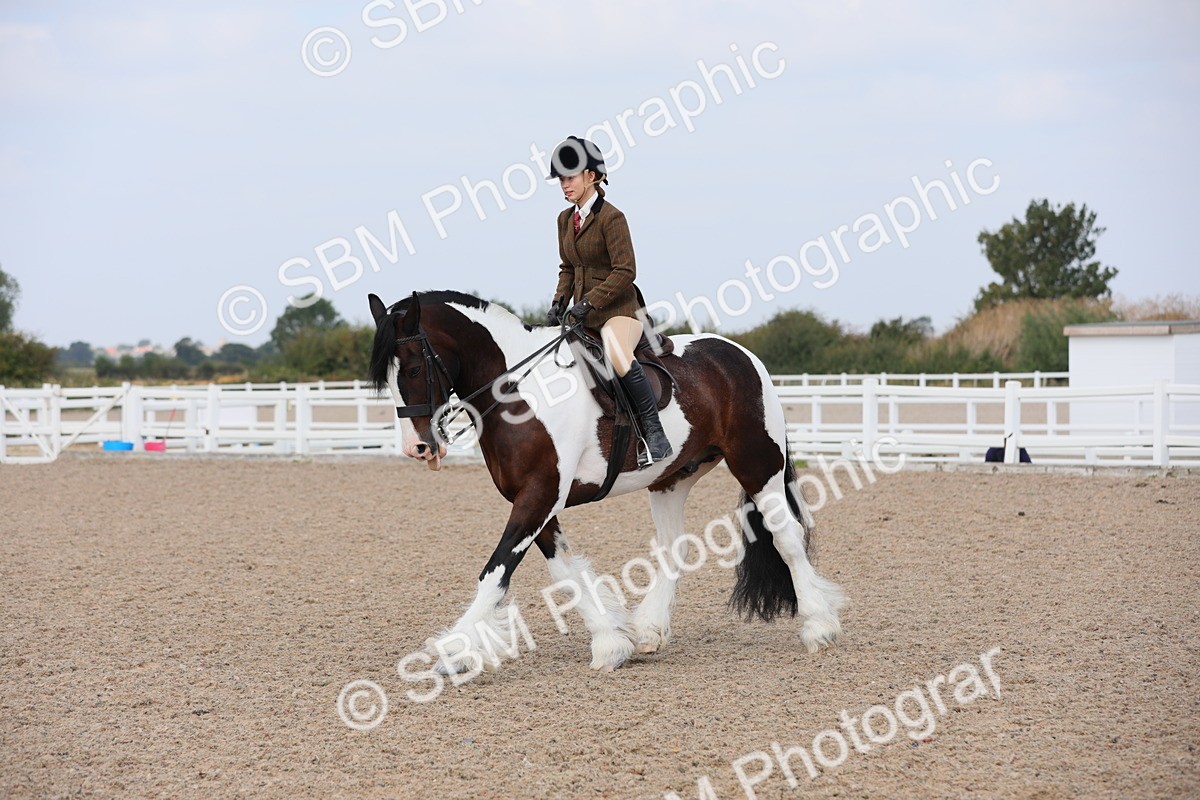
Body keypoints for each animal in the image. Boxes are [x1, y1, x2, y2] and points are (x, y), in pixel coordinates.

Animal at [367, 289, 845, 673]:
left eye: (413, 369)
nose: (418, 447)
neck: (519, 392)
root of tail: (742, 355)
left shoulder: (538, 496)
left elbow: (495, 572)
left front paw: (455, 652)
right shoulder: (538, 500)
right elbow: (563, 570)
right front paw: (612, 642)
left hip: (757, 464)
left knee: (786, 537)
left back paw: (819, 627)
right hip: (672, 480)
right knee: (674, 547)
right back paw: (650, 630)